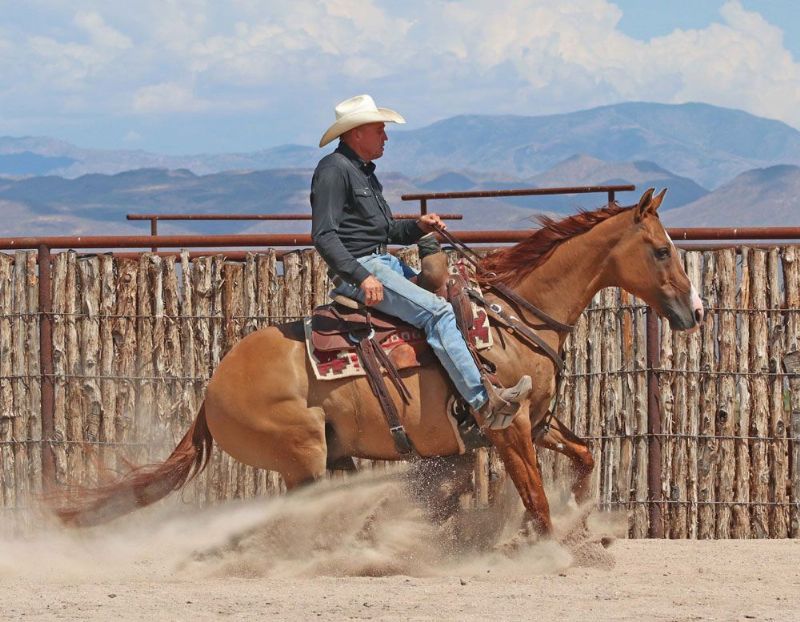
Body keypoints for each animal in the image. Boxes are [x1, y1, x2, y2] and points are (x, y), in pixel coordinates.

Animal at [54, 188, 703, 536]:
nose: (694, 311)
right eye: (661, 249)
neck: (514, 318)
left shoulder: (537, 422)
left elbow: (585, 457)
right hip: (302, 458)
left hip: (331, 454)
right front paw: (548, 544)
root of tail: (212, 390)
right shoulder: (508, 425)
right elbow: (536, 499)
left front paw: (583, 519)